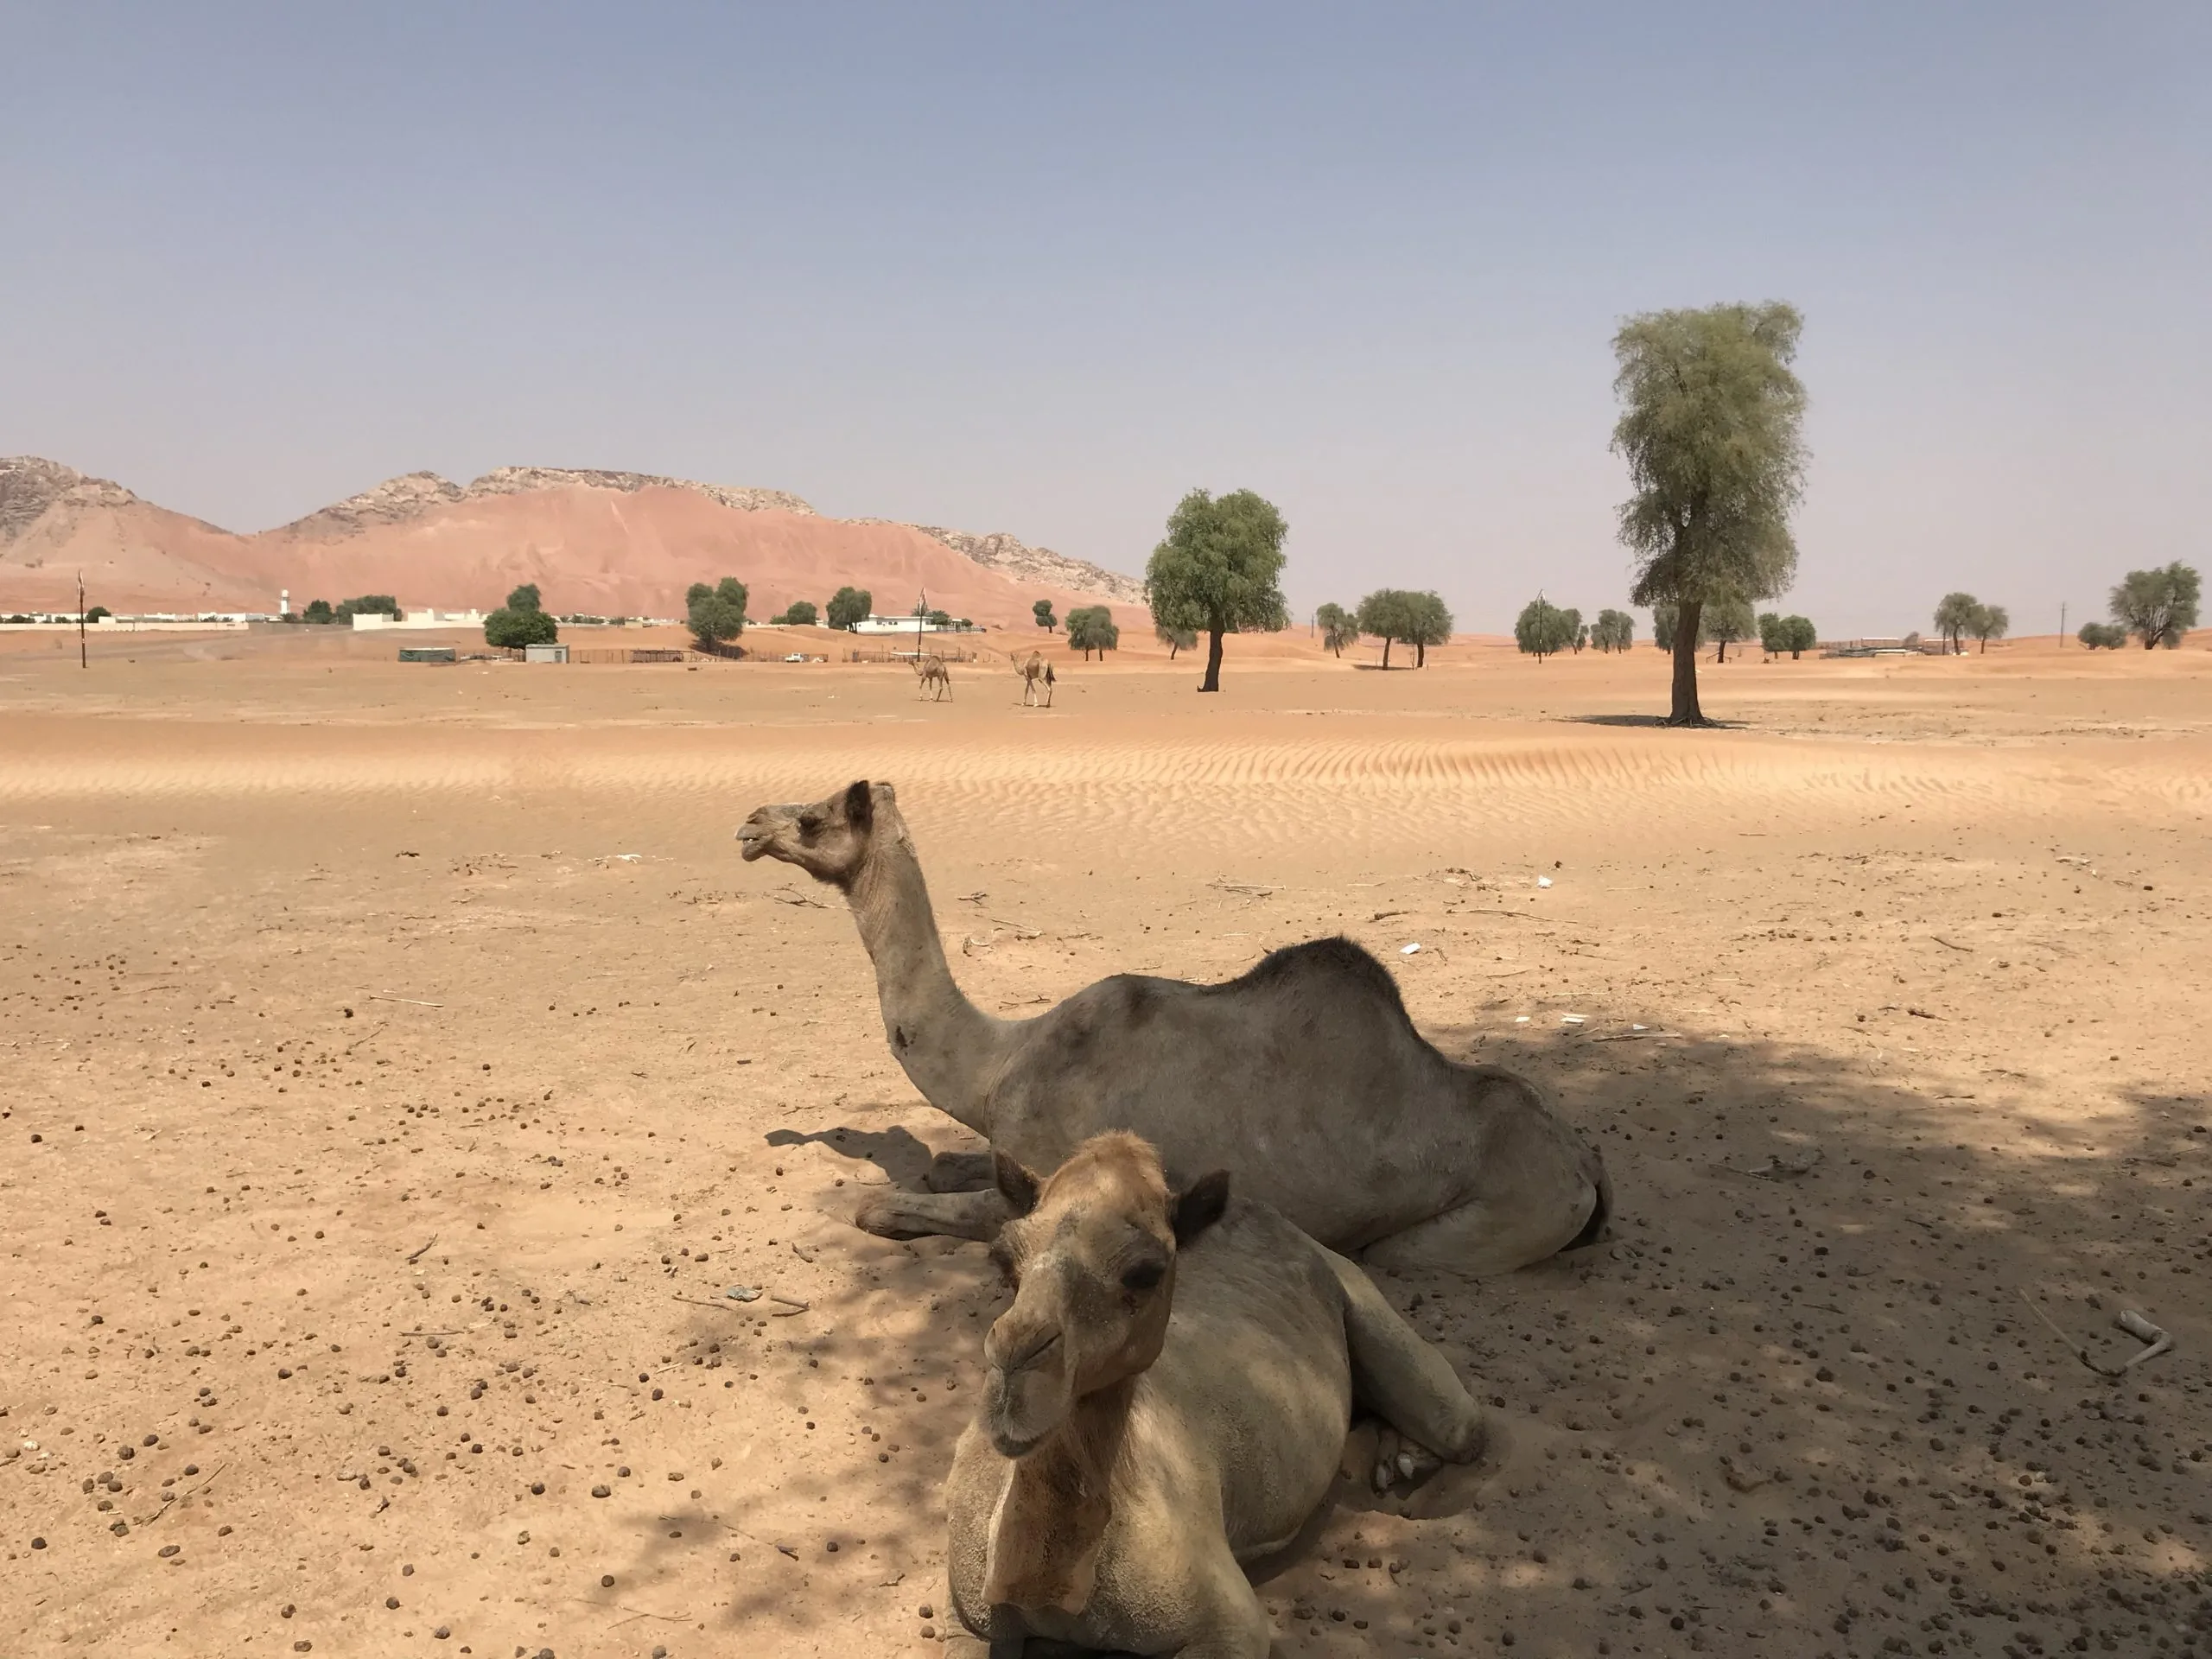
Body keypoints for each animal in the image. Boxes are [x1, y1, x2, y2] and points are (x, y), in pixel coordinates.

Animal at [735, 780, 1610, 1275]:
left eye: (815, 818)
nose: (748, 825)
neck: (998, 1063)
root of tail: (1586, 1170)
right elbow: (949, 1165)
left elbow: (883, 1209)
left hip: (1506, 1215)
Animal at [943, 1132, 1486, 1657]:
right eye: (1002, 1256)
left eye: (1146, 1271)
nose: (1015, 1370)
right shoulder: (966, 1618)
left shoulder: (1229, 1624)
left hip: (1353, 1284)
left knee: (1460, 1426)